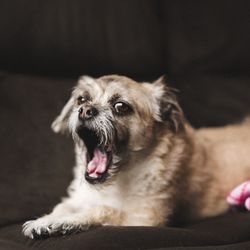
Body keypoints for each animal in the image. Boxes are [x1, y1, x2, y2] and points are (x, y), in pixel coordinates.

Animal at [23, 74, 250, 238]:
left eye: (121, 106)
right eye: (82, 99)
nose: (85, 109)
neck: (116, 181)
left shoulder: (146, 219)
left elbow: (103, 209)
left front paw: (61, 222)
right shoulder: (80, 197)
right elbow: (63, 206)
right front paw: (46, 220)